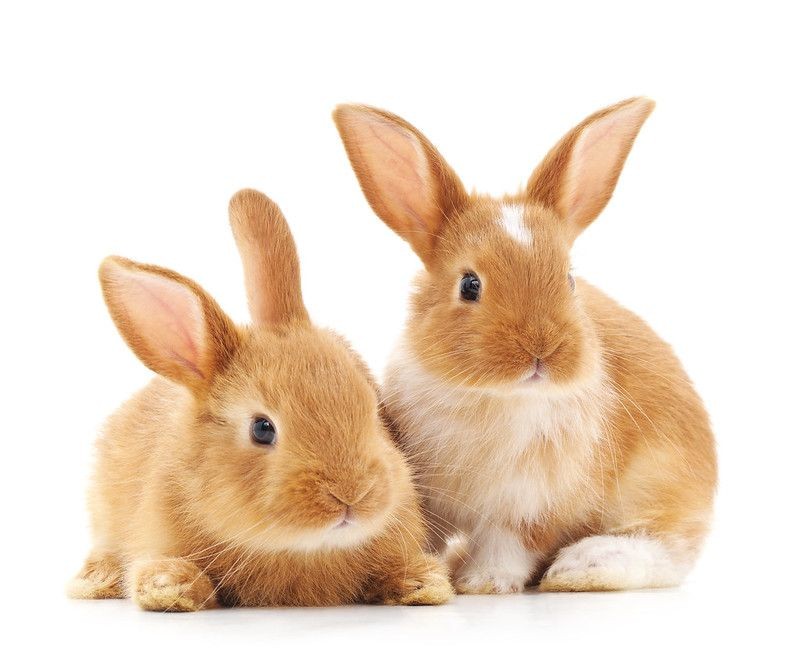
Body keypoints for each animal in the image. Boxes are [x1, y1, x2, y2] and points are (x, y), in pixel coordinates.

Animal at [67, 189, 453, 610]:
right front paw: (170, 588)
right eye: (262, 429)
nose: (351, 493)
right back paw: (94, 580)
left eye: (372, 407)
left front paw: (423, 584)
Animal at [333, 98, 717, 593]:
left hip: (661, 489)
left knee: (666, 550)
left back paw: (584, 565)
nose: (542, 351)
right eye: (470, 285)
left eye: (569, 279)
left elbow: (511, 543)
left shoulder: (534, 505)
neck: (494, 397)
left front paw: (484, 582)